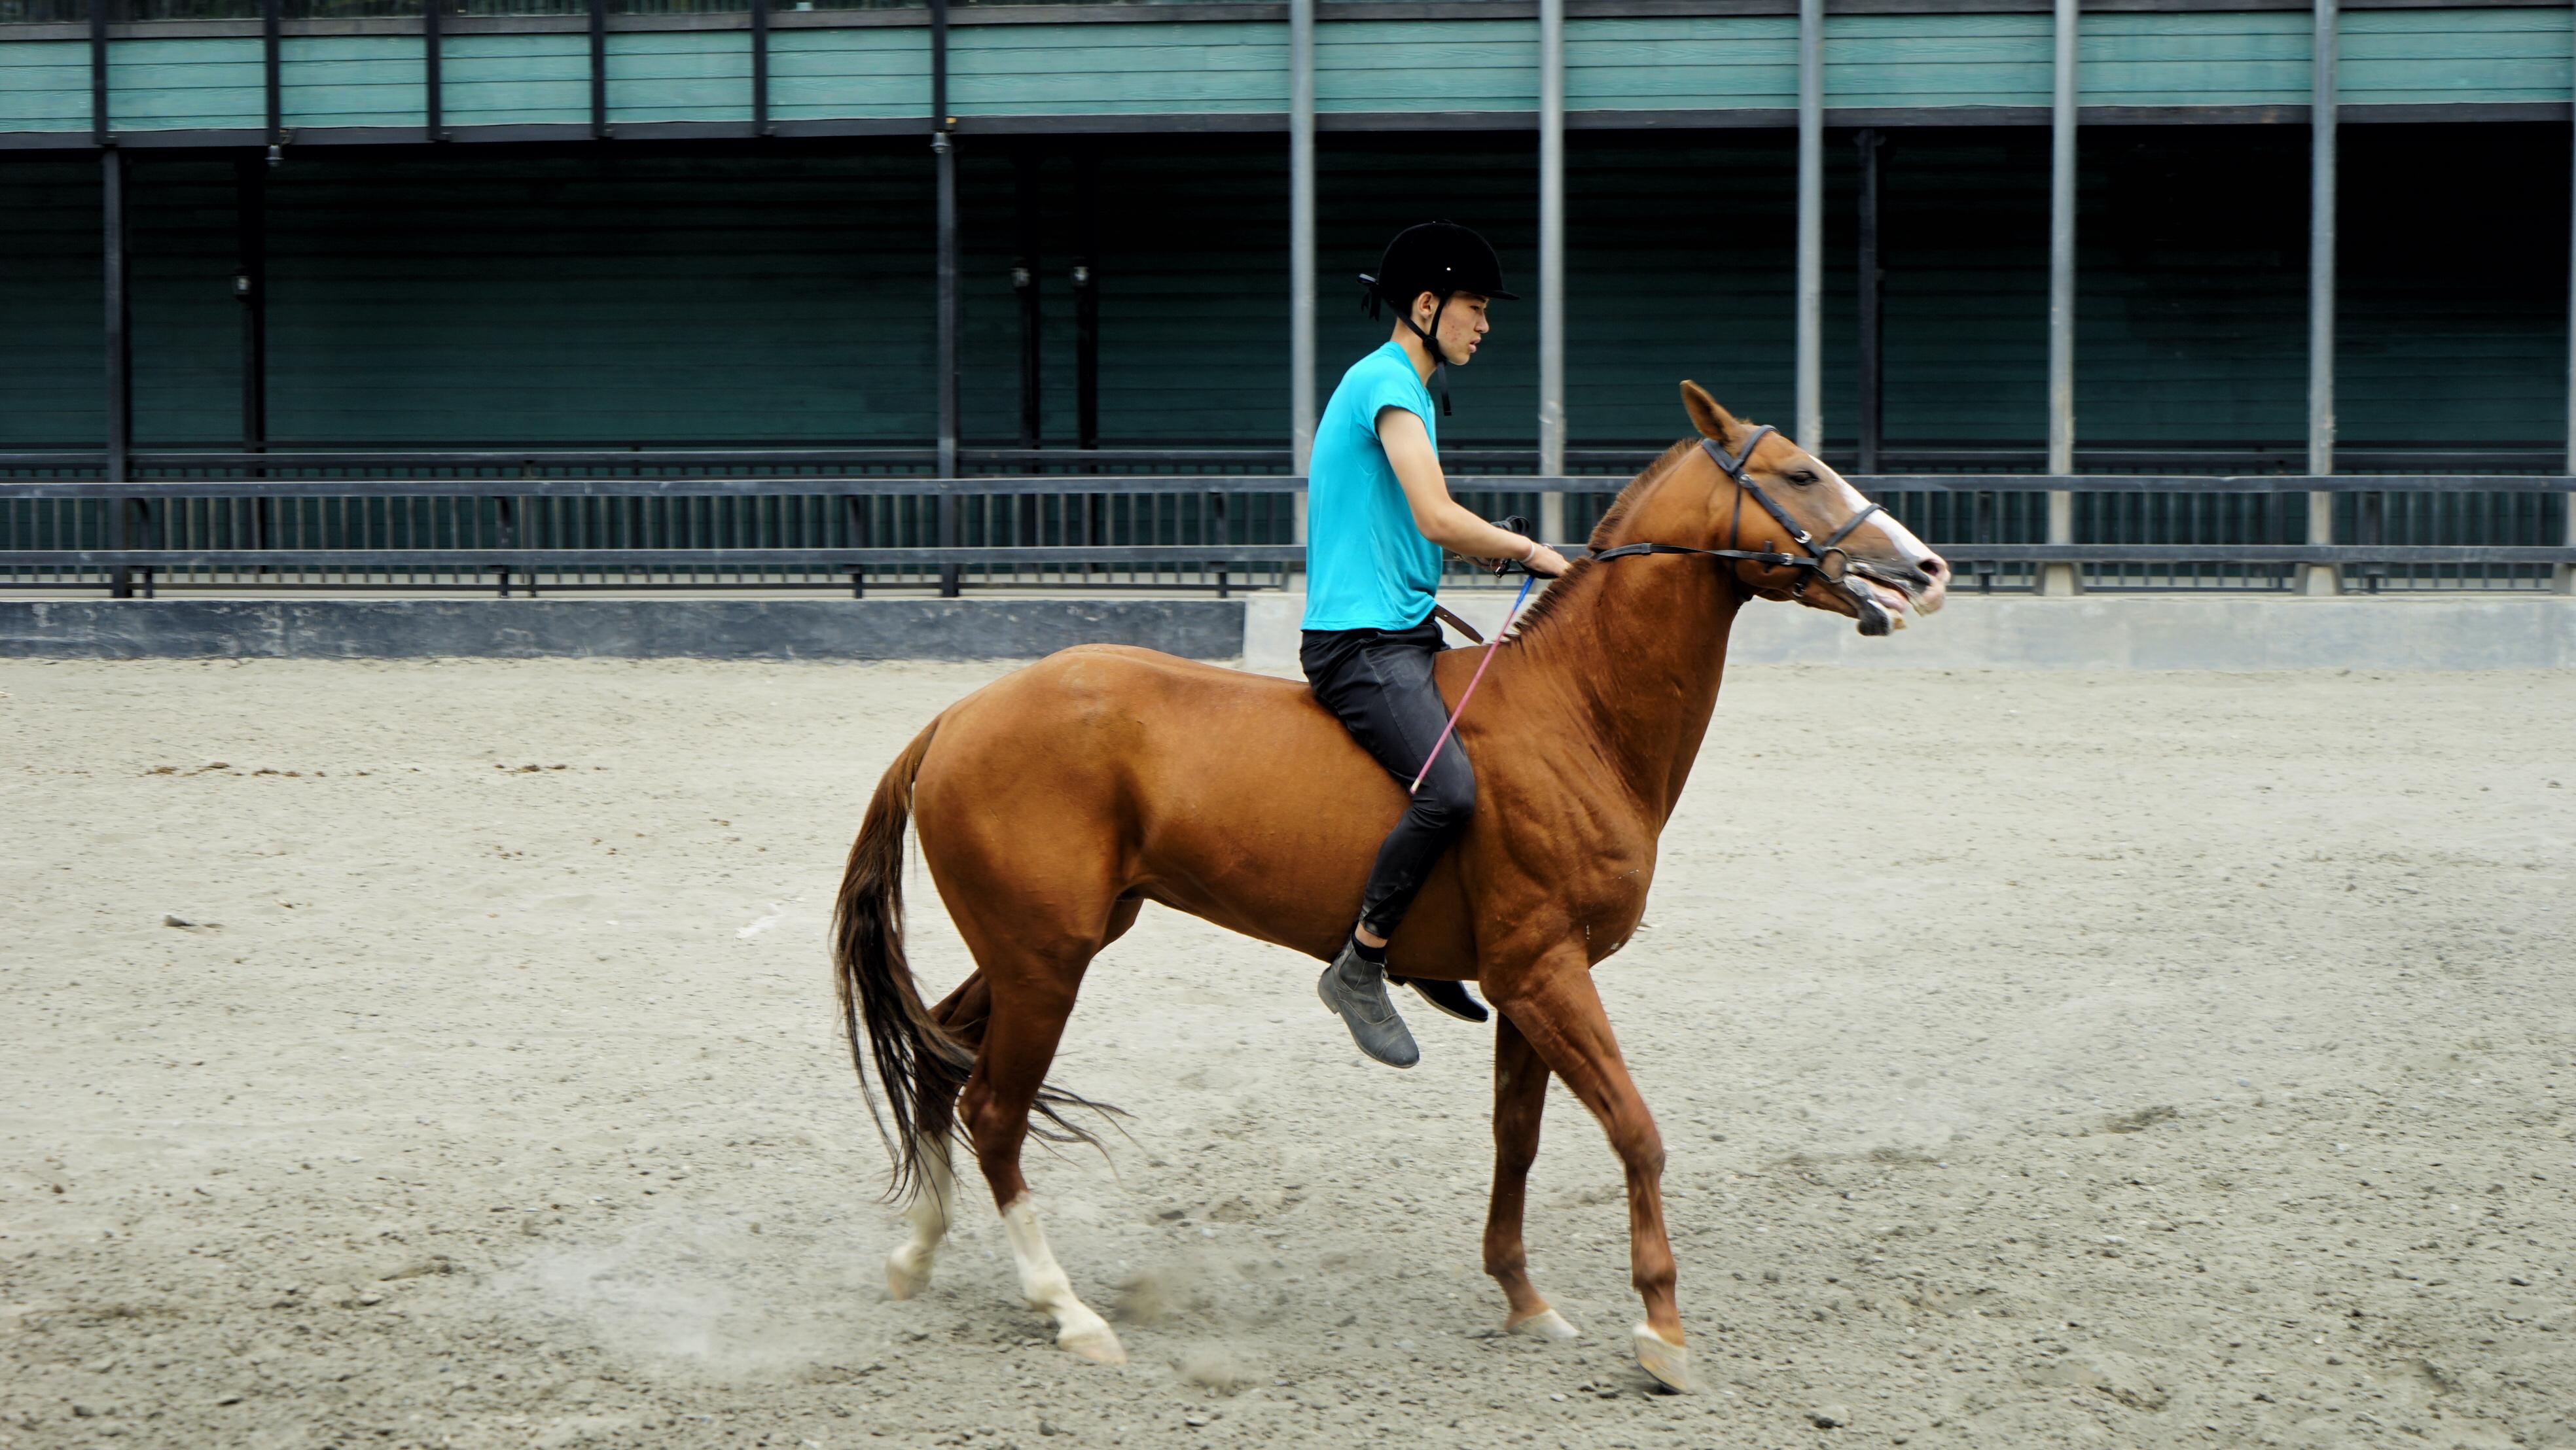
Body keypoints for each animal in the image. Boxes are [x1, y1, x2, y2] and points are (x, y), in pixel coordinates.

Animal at [834, 383, 1937, 1390]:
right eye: (1800, 473)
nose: (1925, 570)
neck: (1575, 713)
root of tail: (959, 715)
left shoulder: (1525, 987)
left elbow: (1517, 1139)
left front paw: (1524, 1299)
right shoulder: (1547, 973)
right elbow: (1636, 1130)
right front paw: (1662, 1330)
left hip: (1044, 948)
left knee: (939, 1058)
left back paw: (917, 1252)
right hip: (1047, 963)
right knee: (994, 1110)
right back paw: (1066, 1309)